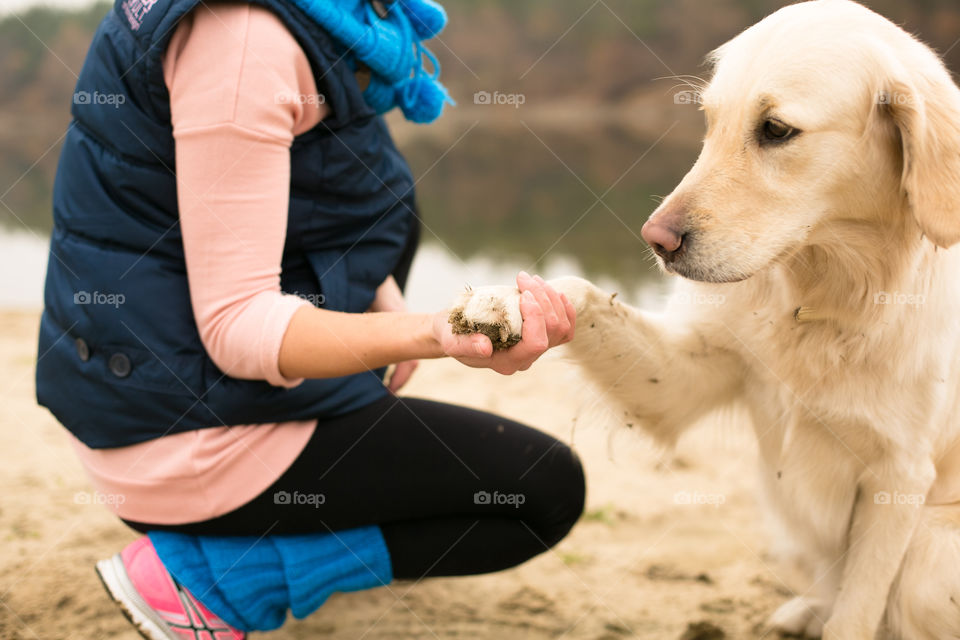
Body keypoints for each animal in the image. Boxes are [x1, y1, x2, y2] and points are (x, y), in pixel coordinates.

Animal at [454, 2, 960, 636]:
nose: (655, 241)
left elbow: (856, 613)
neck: (824, 295)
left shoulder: (899, 478)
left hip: (931, 557)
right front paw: (506, 304)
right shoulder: (692, 373)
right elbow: (580, 291)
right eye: (710, 122)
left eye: (776, 129)